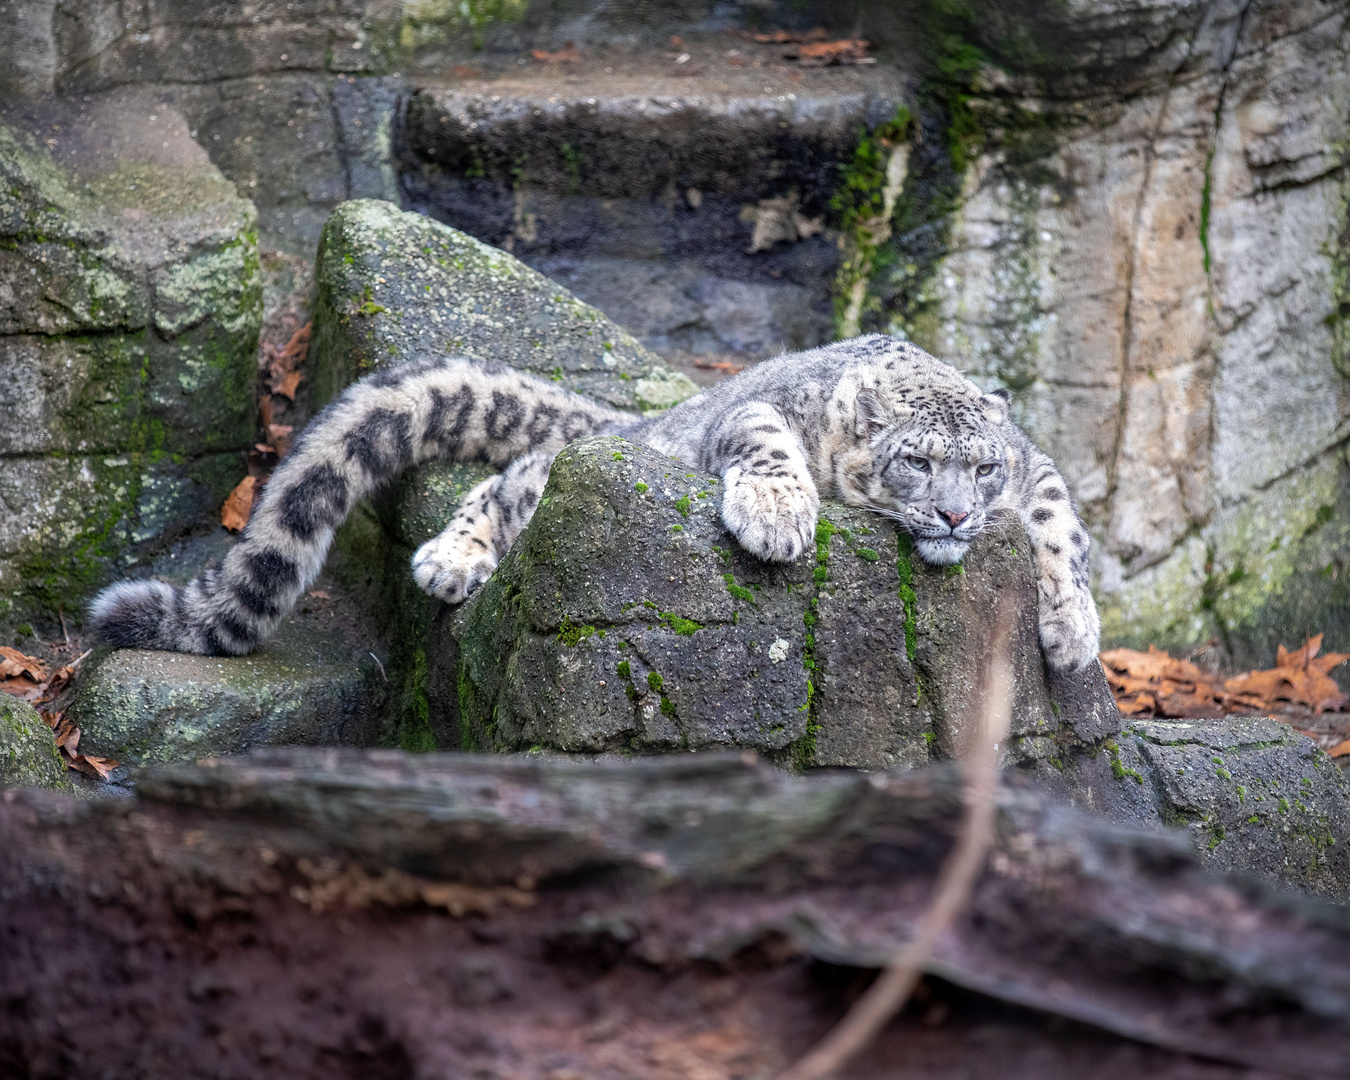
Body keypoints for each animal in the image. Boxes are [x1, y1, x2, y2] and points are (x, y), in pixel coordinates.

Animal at [95, 337, 1101, 669]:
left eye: (983, 470)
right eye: (916, 461)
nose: (958, 518)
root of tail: (637, 417)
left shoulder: (1038, 470)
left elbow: (1060, 523)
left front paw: (1072, 631)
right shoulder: (759, 415)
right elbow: (770, 445)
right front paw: (779, 518)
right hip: (554, 472)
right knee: (511, 480)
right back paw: (451, 558)